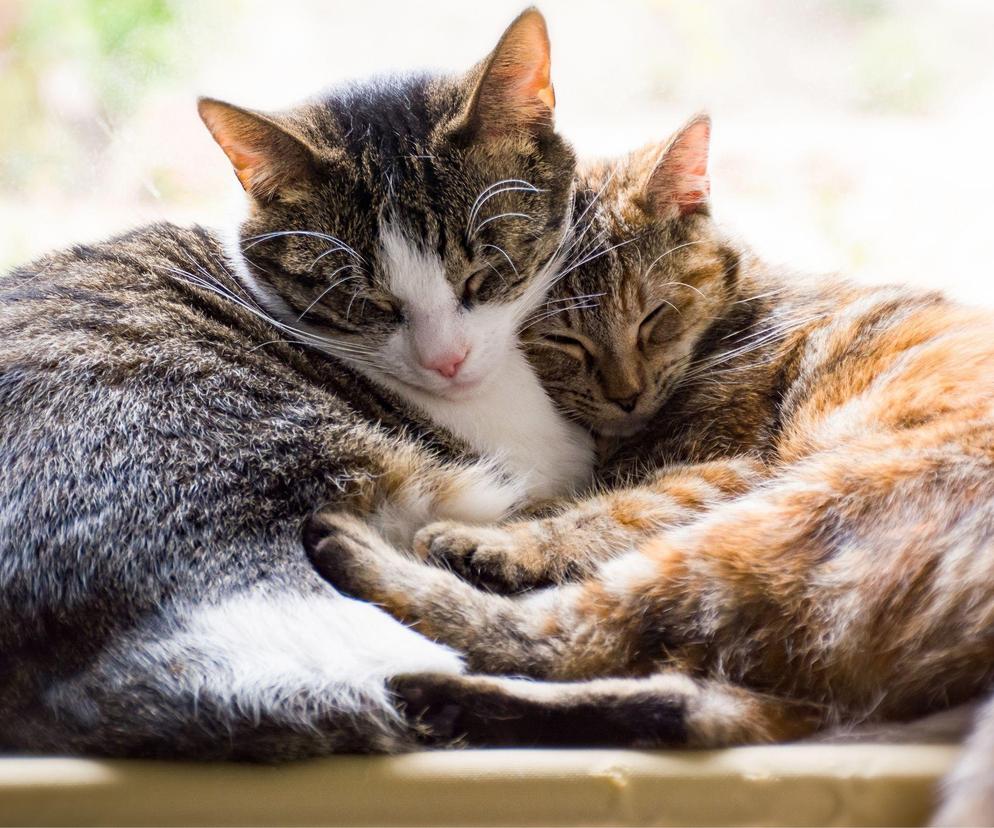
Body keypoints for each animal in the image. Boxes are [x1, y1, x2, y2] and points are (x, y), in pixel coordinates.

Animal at [306, 116, 992, 820]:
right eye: (565, 341)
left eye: (654, 318)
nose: (627, 394)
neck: (737, 315)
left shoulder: (729, 469)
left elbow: (601, 513)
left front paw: (508, 540)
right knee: (687, 703)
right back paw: (444, 700)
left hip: (777, 521)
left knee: (568, 637)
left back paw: (375, 558)